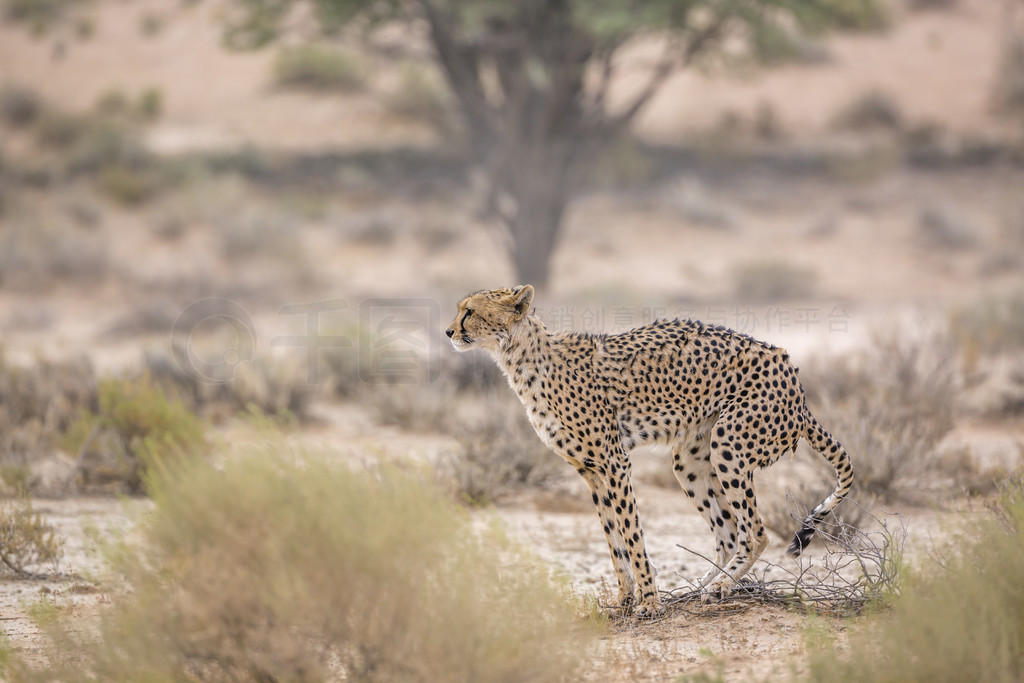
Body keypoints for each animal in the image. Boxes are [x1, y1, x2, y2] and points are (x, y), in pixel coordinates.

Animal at [444, 286, 851, 618]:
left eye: (470, 311)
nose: (448, 332)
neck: (523, 358)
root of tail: (795, 382)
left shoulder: (614, 462)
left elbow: (631, 535)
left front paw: (650, 604)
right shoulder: (590, 470)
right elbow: (613, 540)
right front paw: (624, 601)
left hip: (729, 445)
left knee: (755, 532)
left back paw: (719, 587)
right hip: (689, 461)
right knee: (727, 533)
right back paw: (701, 587)